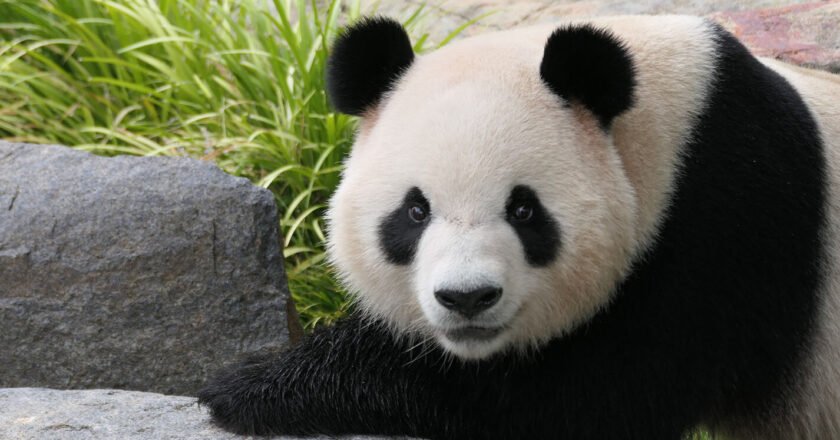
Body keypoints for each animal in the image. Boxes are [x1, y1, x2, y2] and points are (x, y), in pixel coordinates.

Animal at [199, 14, 840, 440]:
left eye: (524, 210)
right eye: (415, 211)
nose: (467, 298)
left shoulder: (726, 225)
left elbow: (579, 397)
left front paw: (250, 387)